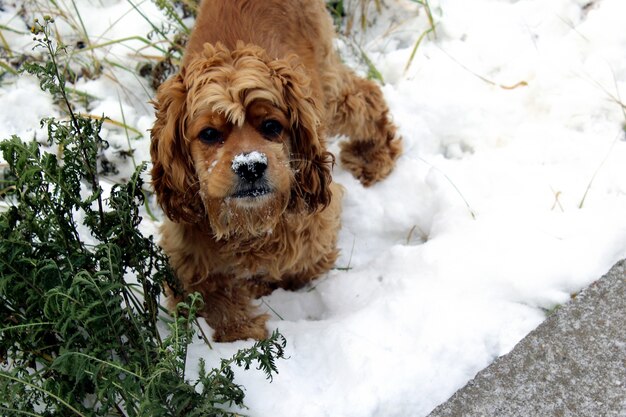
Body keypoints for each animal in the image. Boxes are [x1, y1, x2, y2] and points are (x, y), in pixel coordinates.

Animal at [150, 0, 400, 340]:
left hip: (327, 88)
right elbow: (212, 303)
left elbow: (302, 267)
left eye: (271, 126)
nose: (250, 166)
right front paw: (241, 331)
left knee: (364, 96)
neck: (249, 224)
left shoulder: (314, 228)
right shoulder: (187, 256)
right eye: (209, 134)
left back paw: (373, 156)